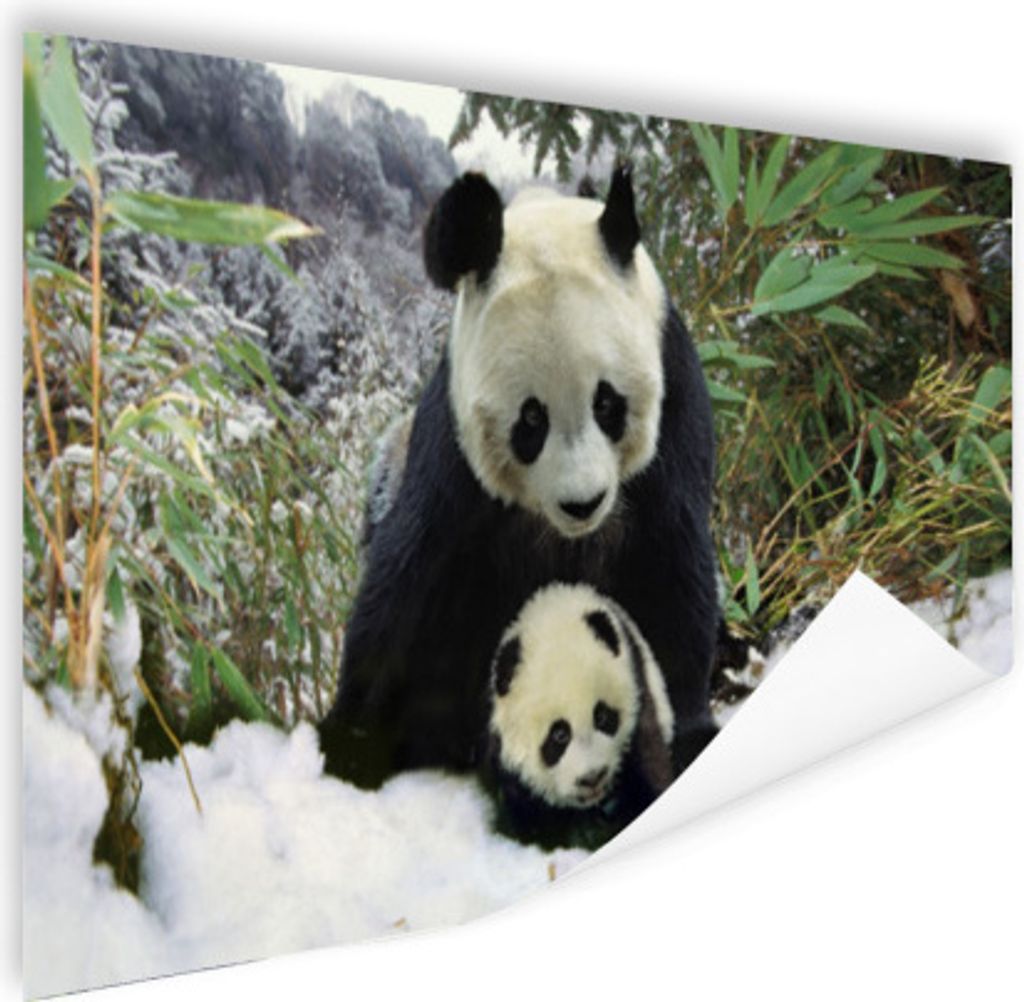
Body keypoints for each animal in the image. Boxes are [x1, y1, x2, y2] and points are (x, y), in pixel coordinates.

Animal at [319, 165, 719, 789]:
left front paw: (683, 737)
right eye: (531, 419)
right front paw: (352, 741)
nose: (584, 502)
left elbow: (668, 572)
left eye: (608, 403)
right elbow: (403, 589)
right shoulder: (452, 458)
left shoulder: (673, 417)